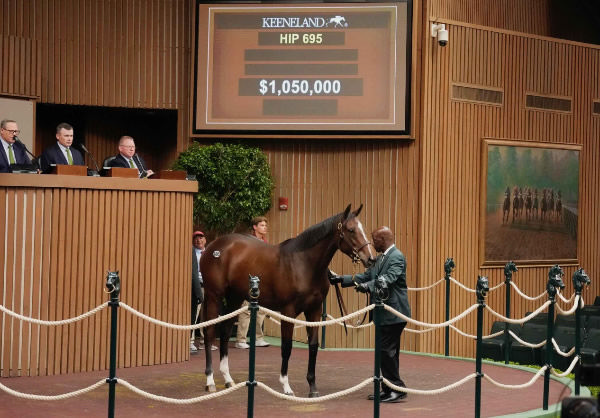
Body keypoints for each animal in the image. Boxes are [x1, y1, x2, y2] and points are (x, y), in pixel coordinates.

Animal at [199, 204, 376, 396]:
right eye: (351, 230)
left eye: (362, 229)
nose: (370, 258)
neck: (304, 264)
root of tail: (213, 246)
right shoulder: (288, 311)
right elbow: (286, 347)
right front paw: (286, 386)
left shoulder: (314, 310)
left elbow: (313, 346)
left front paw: (312, 387)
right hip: (214, 296)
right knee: (209, 332)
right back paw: (210, 381)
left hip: (235, 298)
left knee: (224, 332)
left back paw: (228, 379)